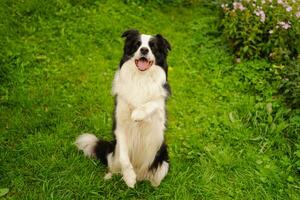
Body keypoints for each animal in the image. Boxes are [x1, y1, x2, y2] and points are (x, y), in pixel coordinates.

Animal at [75, 29, 171, 188]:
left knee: (155, 177)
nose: (144, 50)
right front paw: (129, 178)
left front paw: (137, 113)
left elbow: (153, 103)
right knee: (114, 167)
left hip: (163, 158)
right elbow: (125, 157)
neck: (141, 78)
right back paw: (111, 177)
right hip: (114, 153)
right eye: (137, 44)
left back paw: (154, 185)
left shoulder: (160, 109)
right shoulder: (120, 124)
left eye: (153, 46)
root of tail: (141, 175)